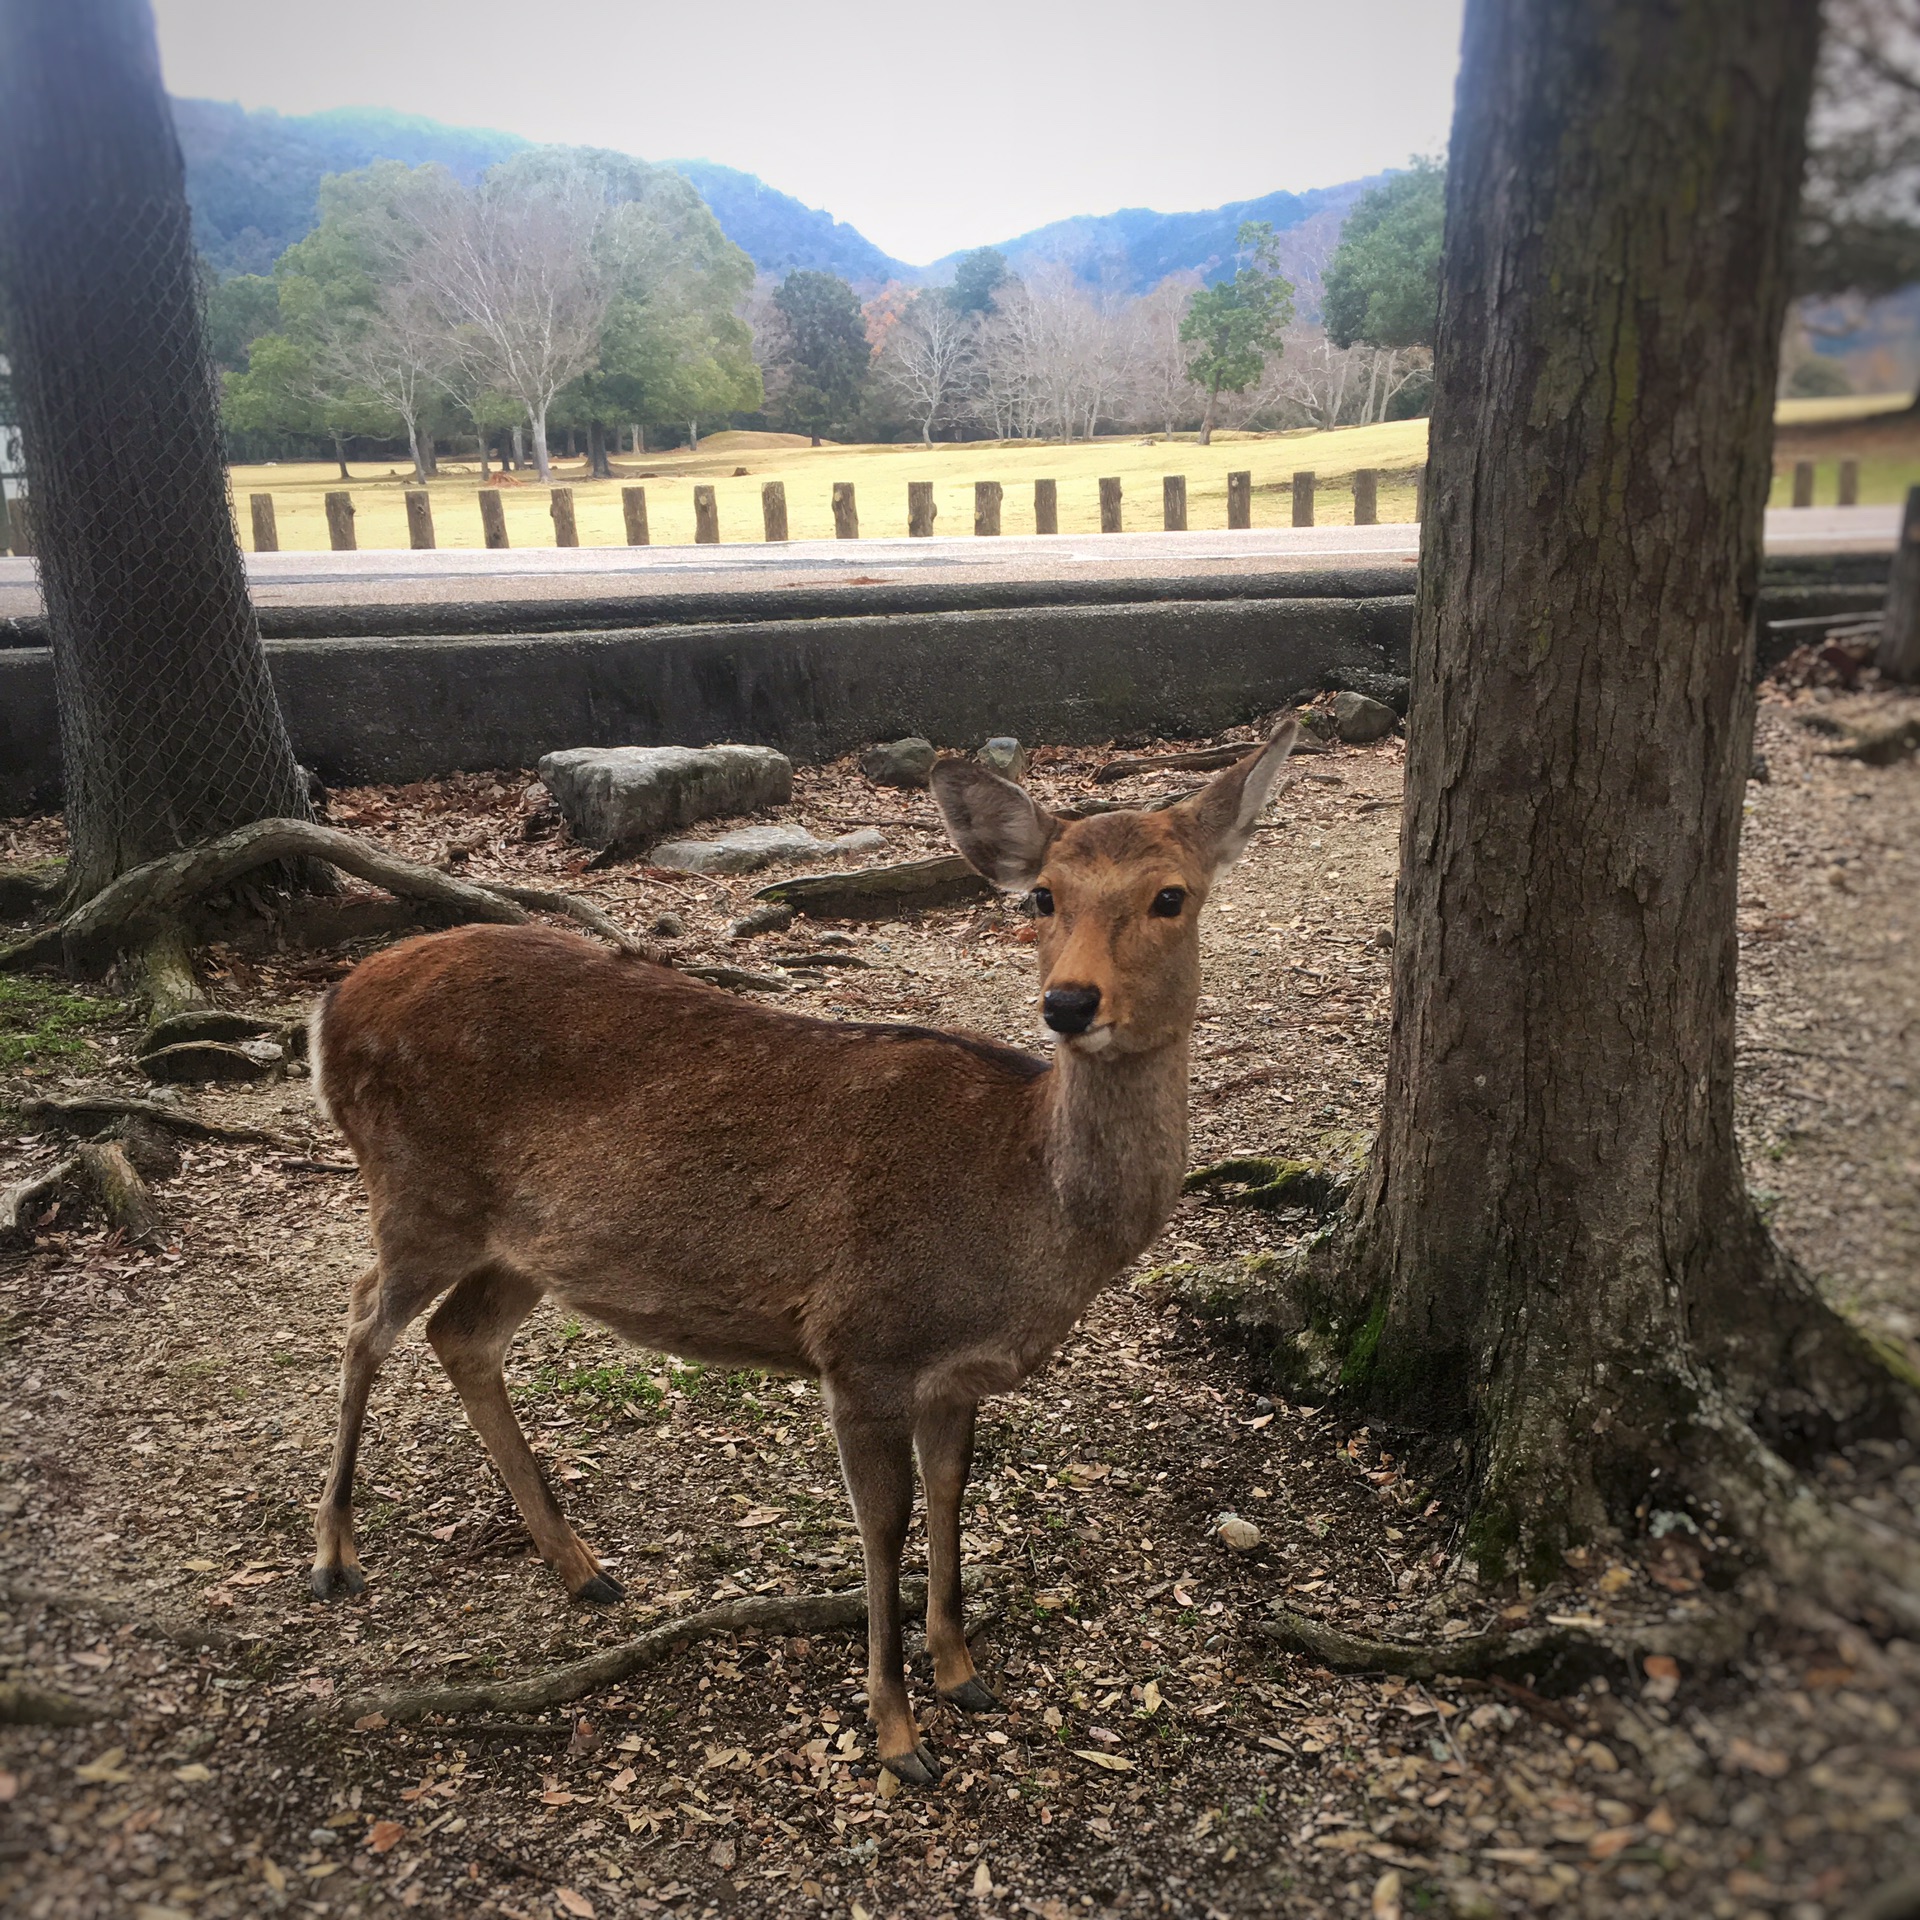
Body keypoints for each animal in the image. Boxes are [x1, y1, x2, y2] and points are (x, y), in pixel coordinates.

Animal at [307, 721, 1297, 1781]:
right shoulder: (862, 1346)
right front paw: (899, 1735)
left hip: (522, 1244)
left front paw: (963, 1672)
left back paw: (584, 1571)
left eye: (1171, 895)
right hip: (419, 1192)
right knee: (363, 1318)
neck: (1024, 1211)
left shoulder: (955, 1374)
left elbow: (952, 1495)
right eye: (1043, 896)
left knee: (460, 1336)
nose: (1069, 1003)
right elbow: (884, 1527)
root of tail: (329, 1012)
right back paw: (334, 1558)